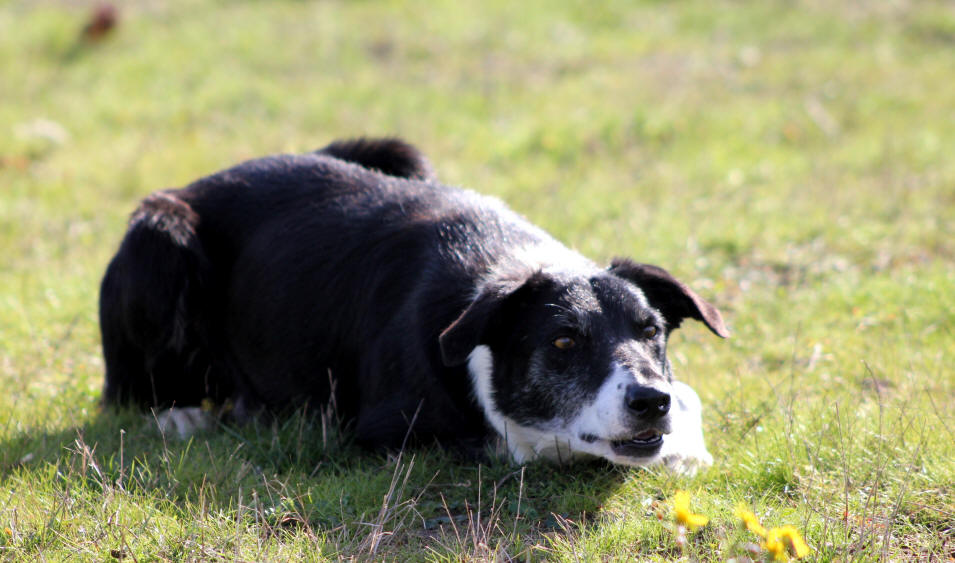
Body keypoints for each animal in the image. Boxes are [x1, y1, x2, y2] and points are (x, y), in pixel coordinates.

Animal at [99, 138, 724, 472]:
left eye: (651, 332)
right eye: (564, 341)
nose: (650, 402)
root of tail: (193, 183)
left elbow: (689, 395)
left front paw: (684, 443)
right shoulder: (390, 433)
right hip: (161, 240)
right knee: (128, 392)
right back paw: (179, 412)